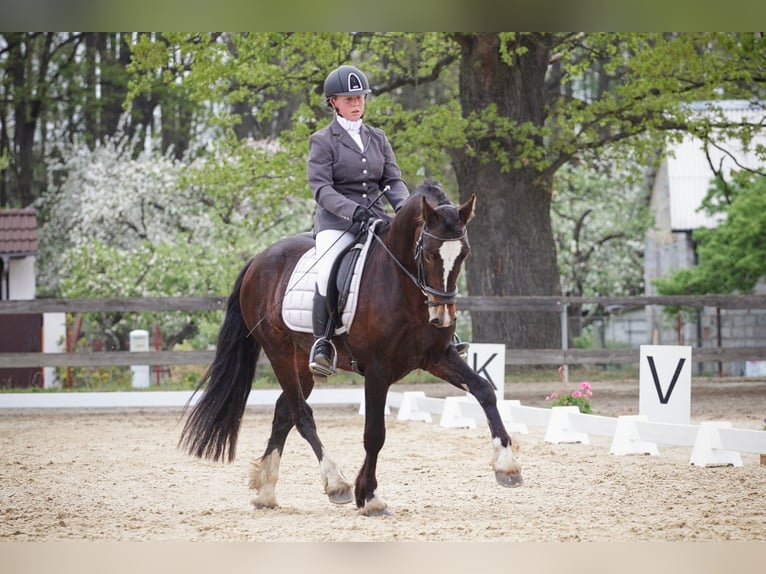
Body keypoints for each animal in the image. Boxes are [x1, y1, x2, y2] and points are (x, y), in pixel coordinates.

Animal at [180, 179, 524, 516]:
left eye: (463, 254)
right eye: (427, 253)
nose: (442, 316)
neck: (403, 285)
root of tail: (259, 259)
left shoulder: (437, 357)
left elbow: (484, 390)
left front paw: (507, 466)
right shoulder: (377, 370)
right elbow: (374, 433)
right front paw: (369, 496)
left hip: (302, 361)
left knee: (283, 412)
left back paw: (266, 491)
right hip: (278, 353)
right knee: (301, 414)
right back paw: (336, 483)